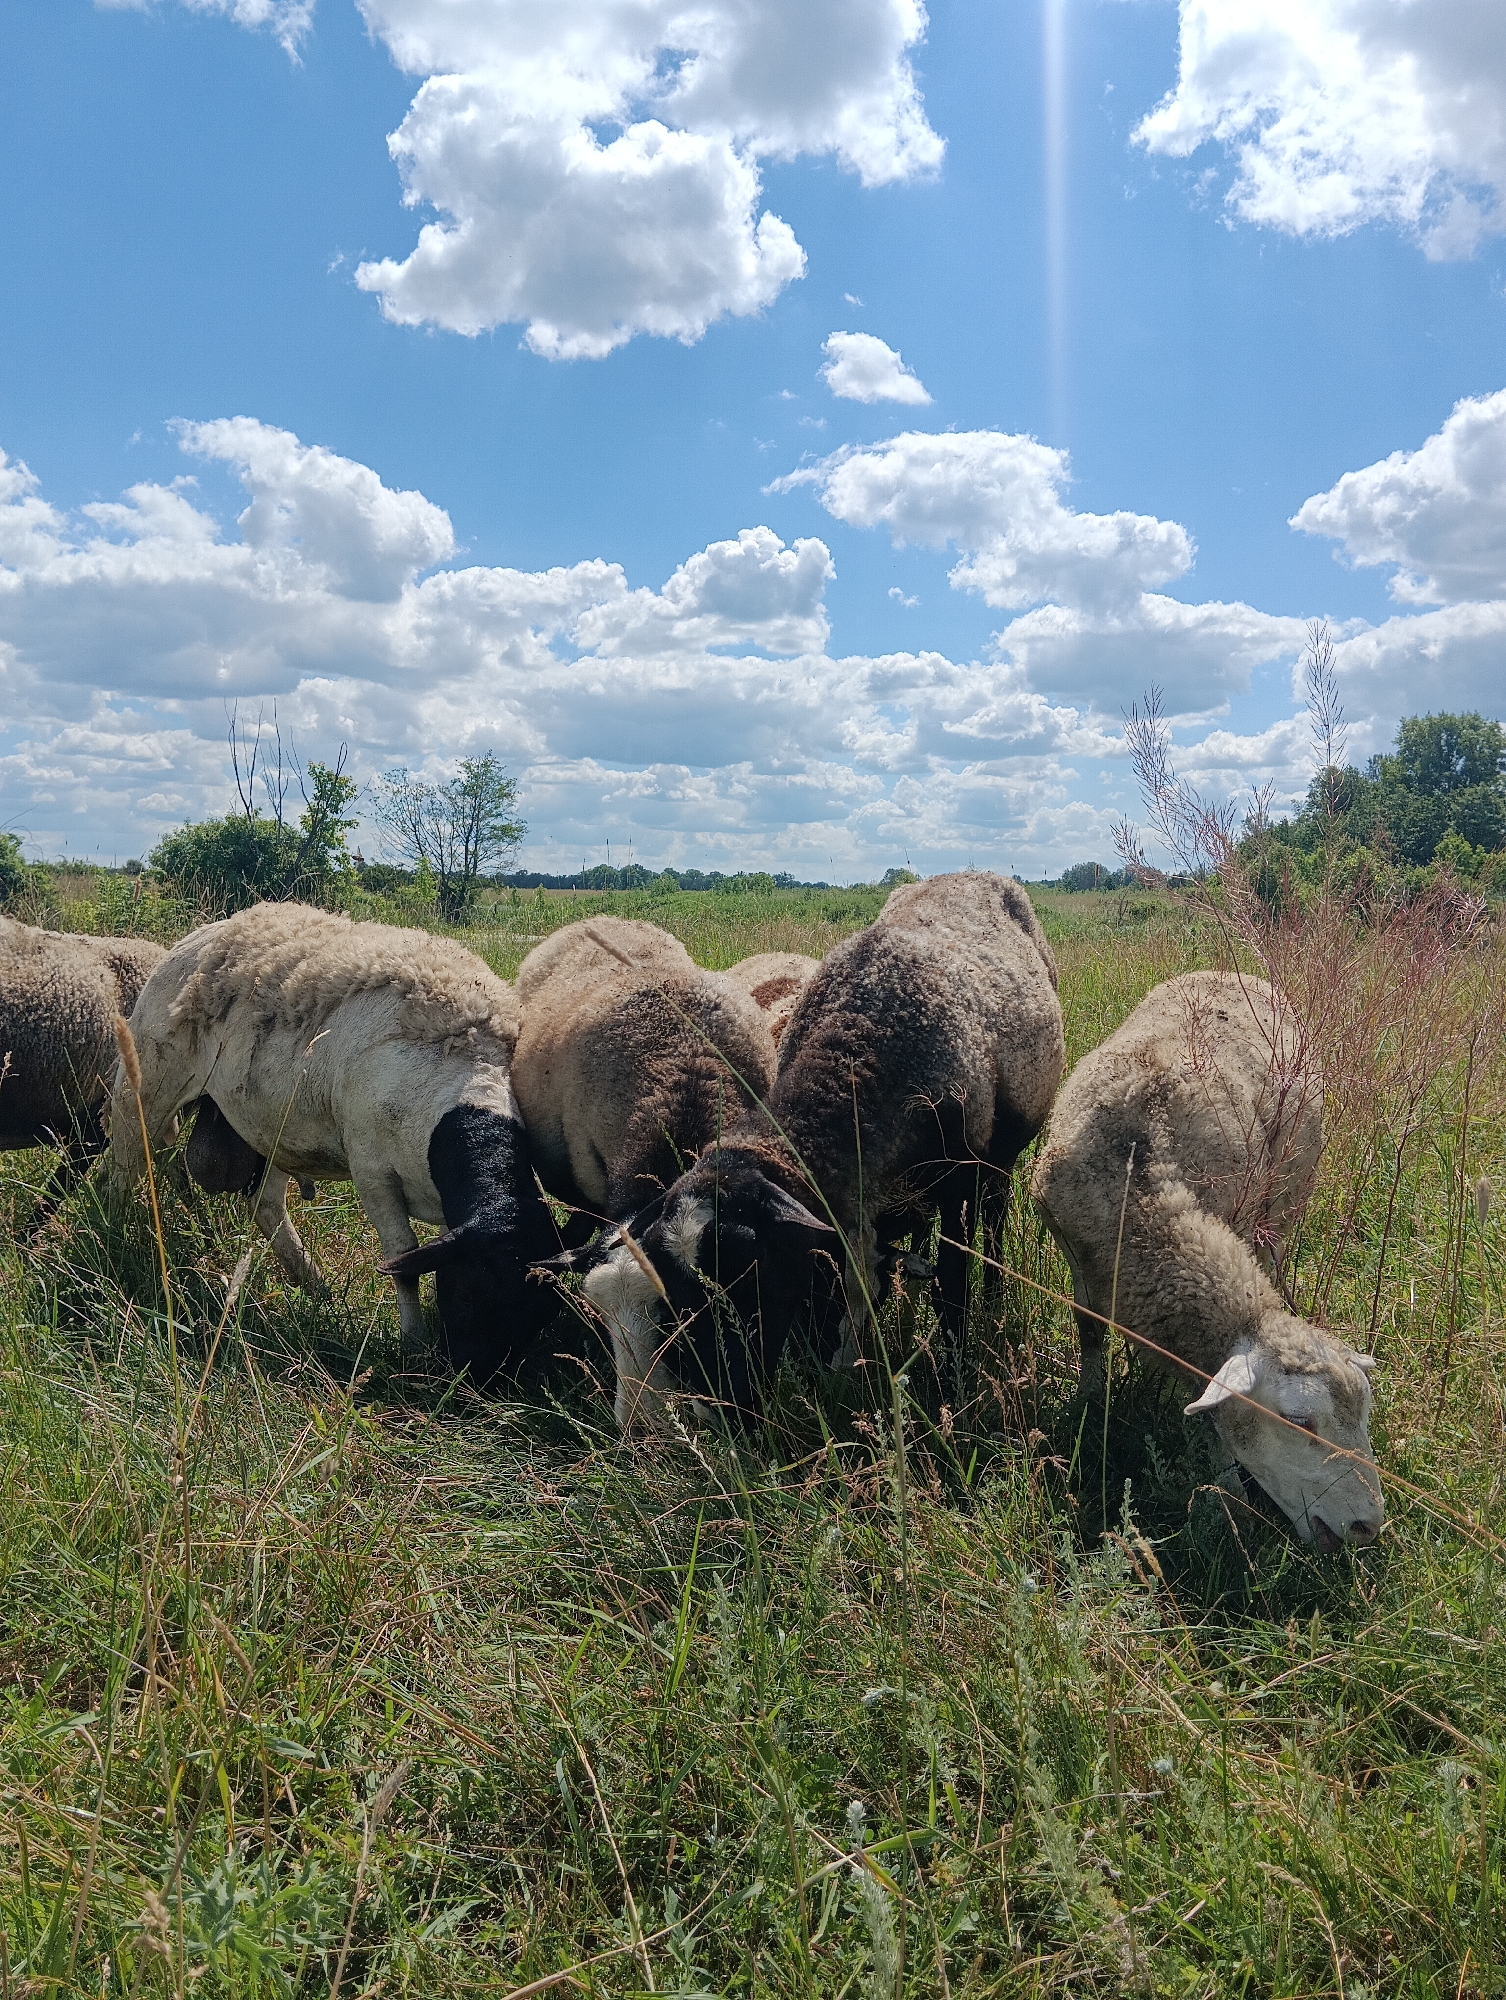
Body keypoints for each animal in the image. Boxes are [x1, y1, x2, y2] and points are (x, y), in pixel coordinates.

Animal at [111, 902, 555, 1382]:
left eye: (538, 1307)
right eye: (478, 1289)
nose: (480, 1381)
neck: (465, 1080)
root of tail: (200, 936)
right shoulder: (373, 1172)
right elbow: (404, 1258)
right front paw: (413, 1343)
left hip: (270, 1124)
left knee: (265, 1206)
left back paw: (315, 1286)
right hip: (149, 1083)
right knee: (121, 1167)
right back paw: (107, 1239)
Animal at [549, 873, 1064, 1429]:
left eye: (748, 1272)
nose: (724, 1408)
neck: (858, 1062)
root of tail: (969, 874)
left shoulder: (957, 1187)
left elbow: (951, 1289)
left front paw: (952, 1377)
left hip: (999, 1162)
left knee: (994, 1218)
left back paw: (990, 1294)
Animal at [1030, 970, 1383, 1549]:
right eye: (1299, 1422)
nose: (1368, 1526)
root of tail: (1230, 972)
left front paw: (1226, 1489)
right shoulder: (1077, 1251)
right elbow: (1089, 1331)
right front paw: (1088, 1403)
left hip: (1285, 1191)